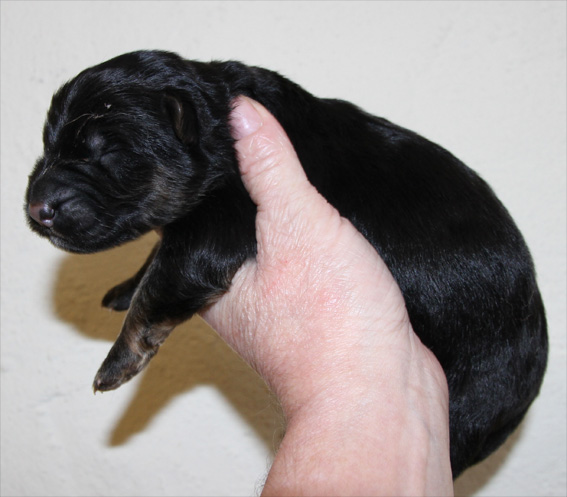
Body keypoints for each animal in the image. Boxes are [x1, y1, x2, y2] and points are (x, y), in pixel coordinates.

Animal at [25, 50, 547, 477]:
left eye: (106, 151)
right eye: (48, 145)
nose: (35, 207)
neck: (218, 128)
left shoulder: (221, 220)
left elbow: (164, 282)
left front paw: (117, 361)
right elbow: (155, 261)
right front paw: (123, 289)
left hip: (471, 403)